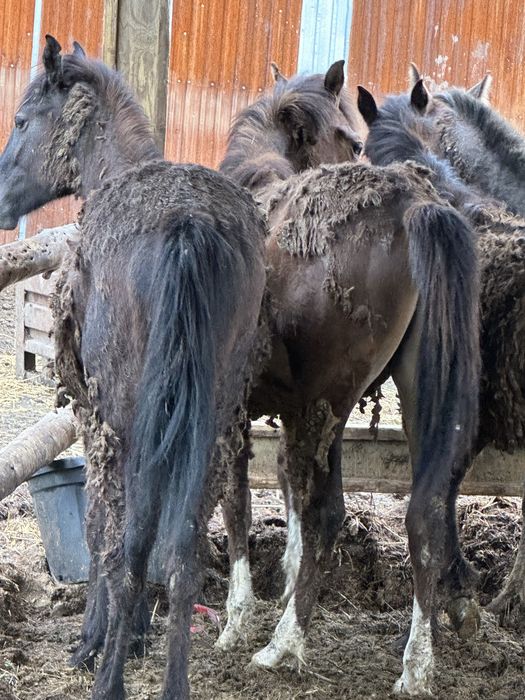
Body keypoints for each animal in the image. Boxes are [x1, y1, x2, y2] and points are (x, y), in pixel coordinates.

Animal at [0, 36, 267, 700]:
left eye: (21, 121)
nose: (0, 200)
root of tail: (189, 229)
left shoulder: (95, 419)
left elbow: (102, 530)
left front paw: (93, 641)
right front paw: (135, 634)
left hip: (132, 415)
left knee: (135, 537)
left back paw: (110, 678)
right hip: (211, 417)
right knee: (184, 551)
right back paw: (172, 682)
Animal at [218, 61, 481, 695]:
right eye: (353, 139)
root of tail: (415, 204)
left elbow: (239, 504)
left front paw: (238, 620)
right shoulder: (295, 415)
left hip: (329, 400)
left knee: (327, 511)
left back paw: (283, 644)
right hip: (407, 397)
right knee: (424, 511)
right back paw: (416, 665)